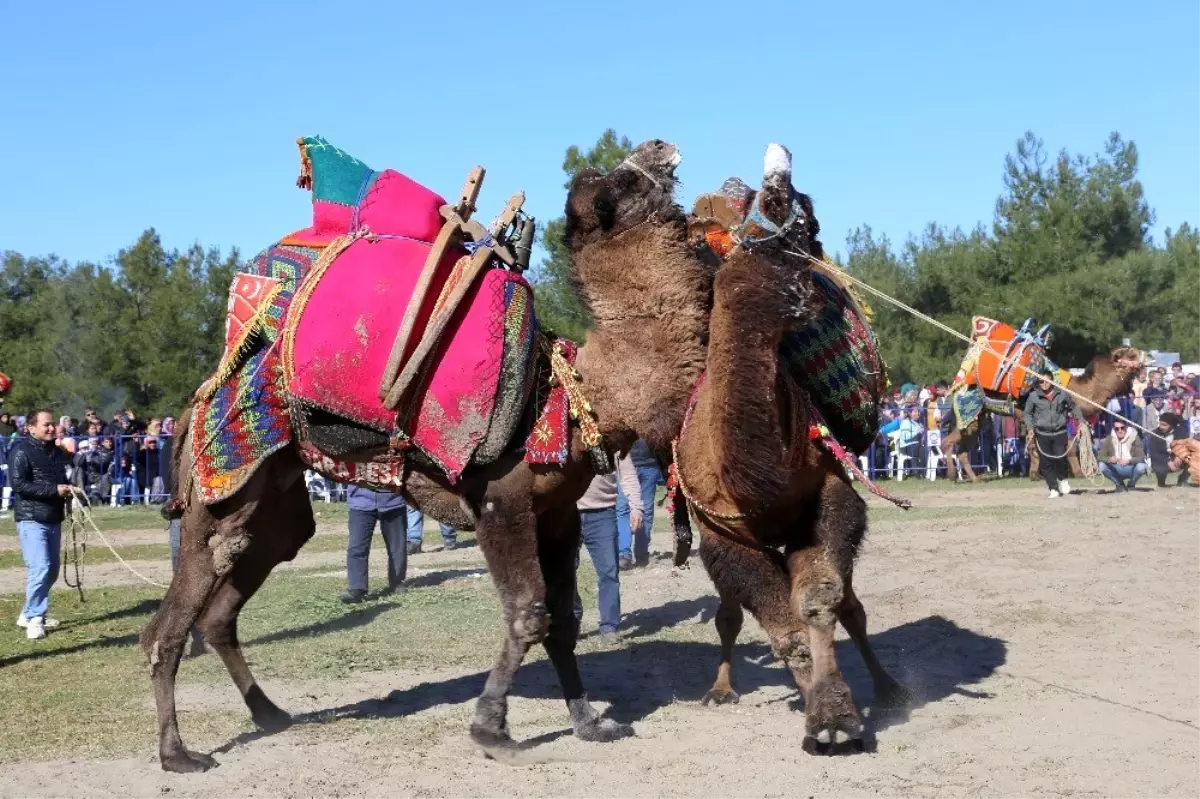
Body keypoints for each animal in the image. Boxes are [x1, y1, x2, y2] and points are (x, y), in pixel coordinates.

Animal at [142, 138, 710, 772]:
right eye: (619, 180)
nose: (660, 147)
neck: (570, 398)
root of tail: (196, 403)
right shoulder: (498, 502)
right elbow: (528, 612)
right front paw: (491, 730)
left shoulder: (558, 513)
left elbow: (564, 621)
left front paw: (590, 722)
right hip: (217, 492)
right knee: (166, 626)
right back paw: (177, 752)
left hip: (275, 504)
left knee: (224, 608)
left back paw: (269, 713)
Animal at [571, 144, 907, 753]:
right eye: (620, 184)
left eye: (805, 215)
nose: (657, 147)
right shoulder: (723, 539)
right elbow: (785, 630)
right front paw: (823, 711)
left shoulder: (827, 498)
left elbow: (821, 599)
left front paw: (835, 718)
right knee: (730, 614)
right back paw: (721, 690)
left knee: (850, 608)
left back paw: (889, 688)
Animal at [936, 343, 1152, 479]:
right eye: (1131, 355)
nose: (1150, 356)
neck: (1077, 390)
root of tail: (956, 388)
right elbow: (1066, 447)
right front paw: (1077, 474)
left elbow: (1041, 447)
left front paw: (1039, 473)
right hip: (968, 412)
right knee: (949, 442)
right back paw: (953, 476)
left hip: (978, 418)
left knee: (962, 449)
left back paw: (975, 479)